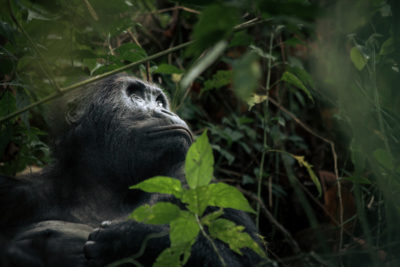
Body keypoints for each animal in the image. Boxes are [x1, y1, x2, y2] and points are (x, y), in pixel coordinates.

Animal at [0, 74, 264, 266]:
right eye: (135, 96)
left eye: (159, 101)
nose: (166, 111)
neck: (107, 188)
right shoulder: (17, 196)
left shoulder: (207, 189)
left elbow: (249, 260)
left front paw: (131, 238)